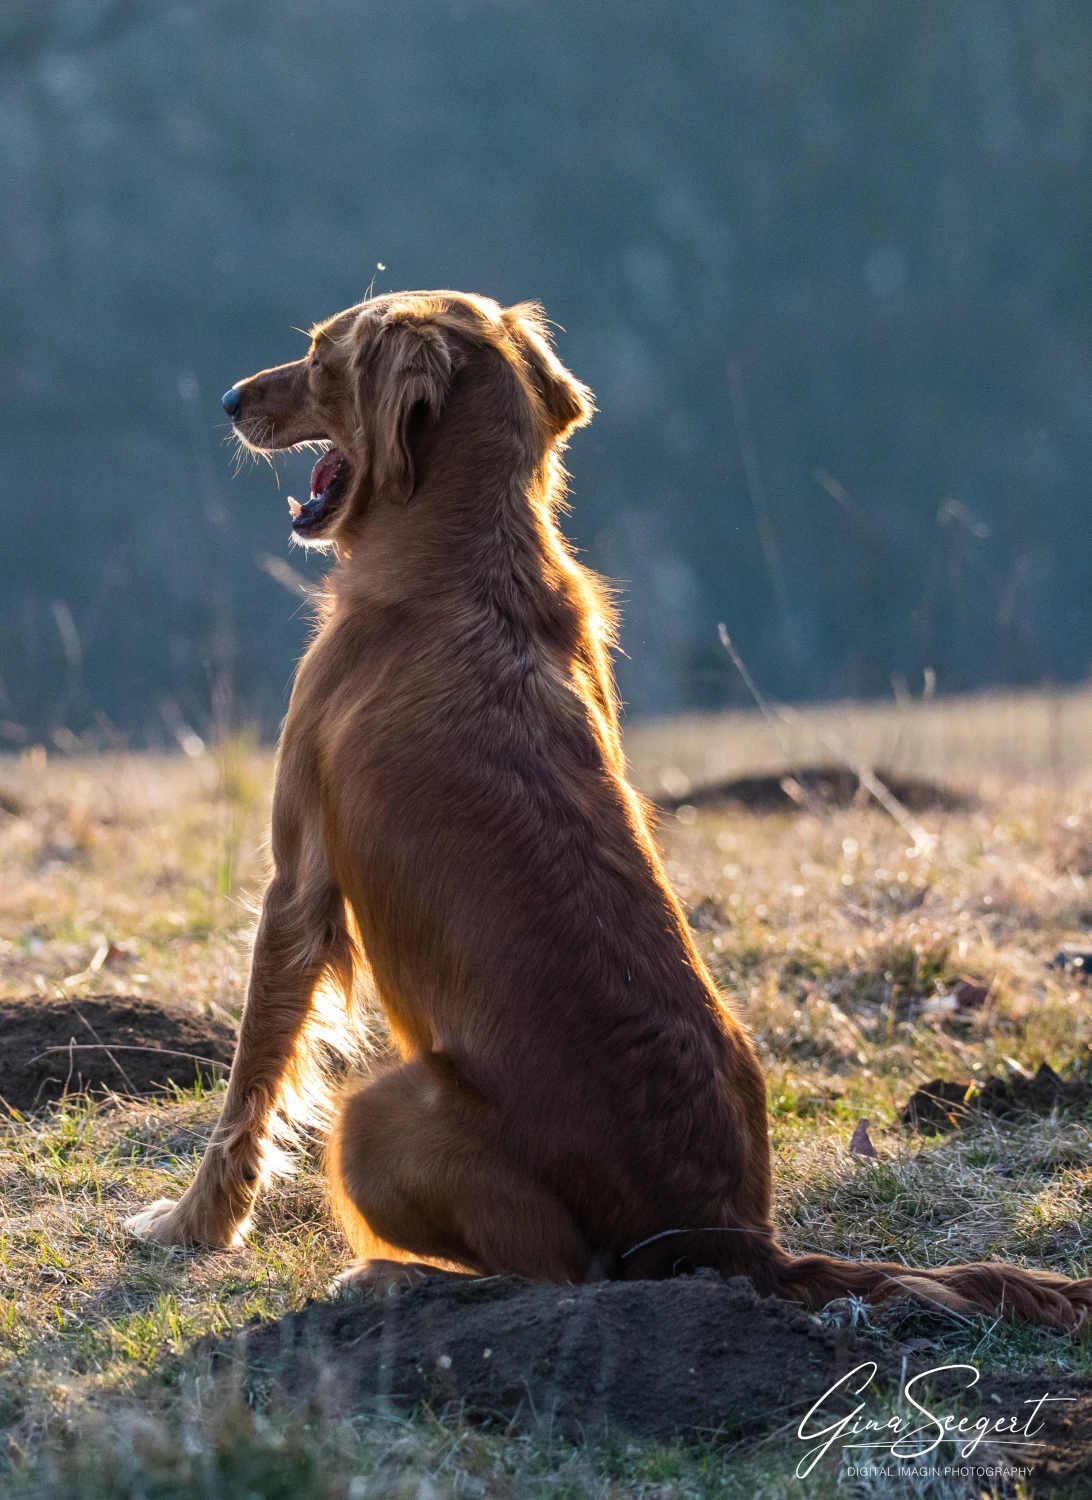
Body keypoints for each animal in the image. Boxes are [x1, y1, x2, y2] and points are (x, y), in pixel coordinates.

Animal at [128, 286, 1092, 1332]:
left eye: (319, 356)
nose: (230, 399)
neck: (467, 548)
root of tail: (735, 1236)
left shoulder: (297, 881)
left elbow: (249, 1084)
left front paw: (192, 1224)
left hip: (377, 1114)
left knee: (560, 1276)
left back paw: (396, 1275)